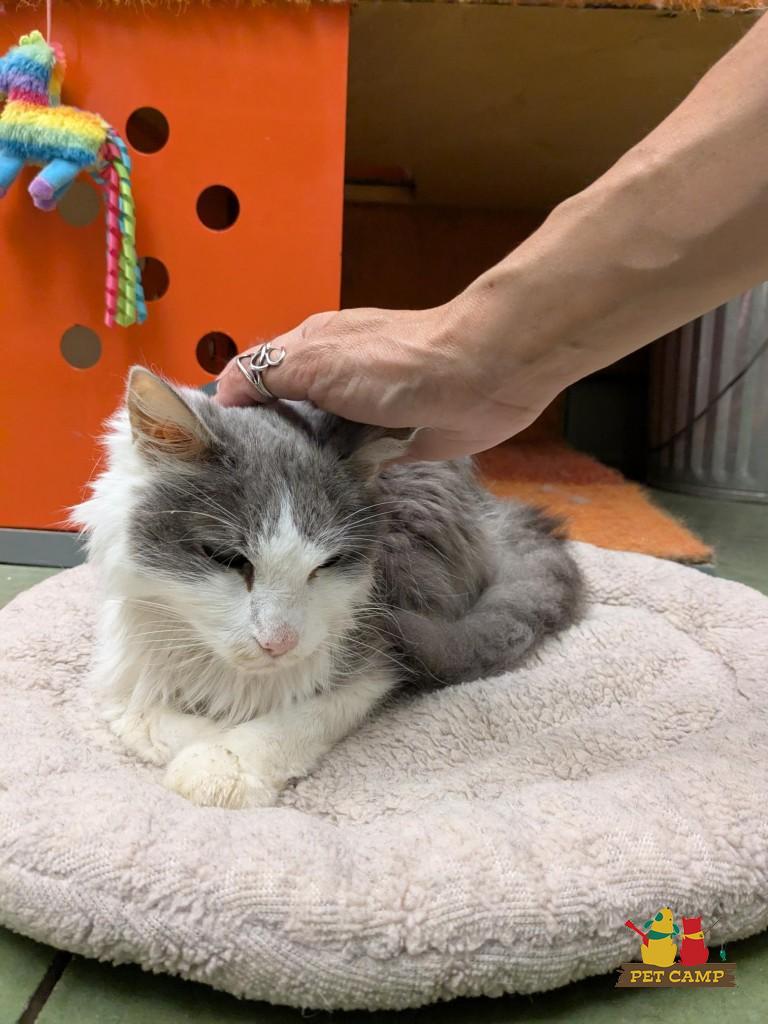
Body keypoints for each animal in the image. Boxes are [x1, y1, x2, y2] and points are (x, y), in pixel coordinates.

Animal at [73, 366, 582, 809]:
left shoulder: (378, 652)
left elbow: (295, 721)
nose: (278, 643)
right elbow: (141, 717)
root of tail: (487, 507)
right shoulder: (121, 667)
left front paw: (225, 762)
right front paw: (209, 736)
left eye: (327, 564)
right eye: (227, 559)